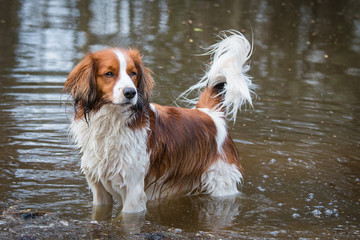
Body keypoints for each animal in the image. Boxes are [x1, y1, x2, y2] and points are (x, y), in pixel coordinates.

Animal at [64, 30, 253, 214]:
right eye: (109, 74)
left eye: (133, 73)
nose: (130, 92)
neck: (112, 121)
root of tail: (210, 114)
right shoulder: (99, 189)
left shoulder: (134, 191)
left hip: (222, 183)